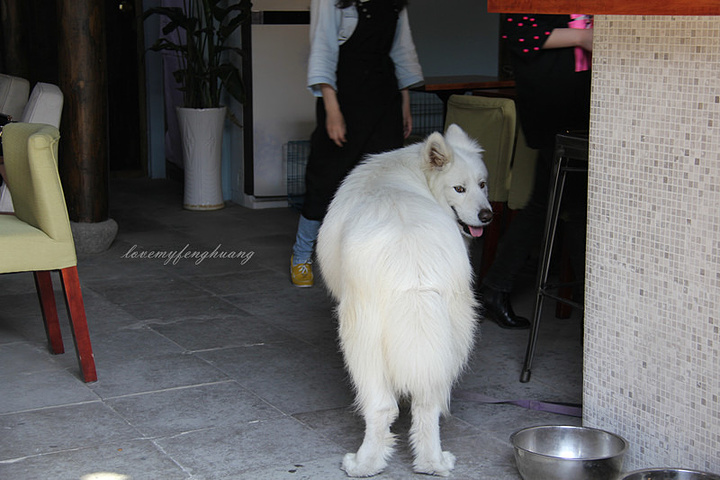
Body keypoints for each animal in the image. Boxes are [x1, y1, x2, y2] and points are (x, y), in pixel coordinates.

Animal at [320, 124, 496, 476]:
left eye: (482, 184)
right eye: (460, 189)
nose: (487, 215)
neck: (416, 173)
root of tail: (412, 262)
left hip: (360, 340)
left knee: (380, 407)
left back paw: (364, 464)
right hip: (453, 333)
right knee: (428, 406)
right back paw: (433, 463)